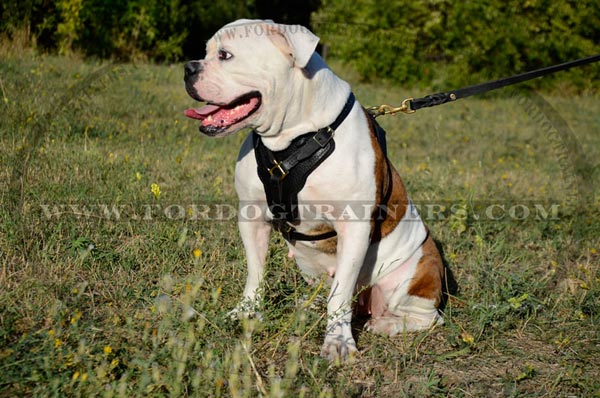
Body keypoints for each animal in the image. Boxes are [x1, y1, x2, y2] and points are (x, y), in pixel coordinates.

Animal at [185, 19, 442, 360]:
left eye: (225, 55)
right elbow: (255, 272)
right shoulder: (251, 216)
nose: (188, 68)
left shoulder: (354, 227)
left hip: (413, 277)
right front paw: (246, 312)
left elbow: (340, 294)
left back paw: (386, 325)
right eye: (206, 52)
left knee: (427, 317)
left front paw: (338, 342)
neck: (294, 138)